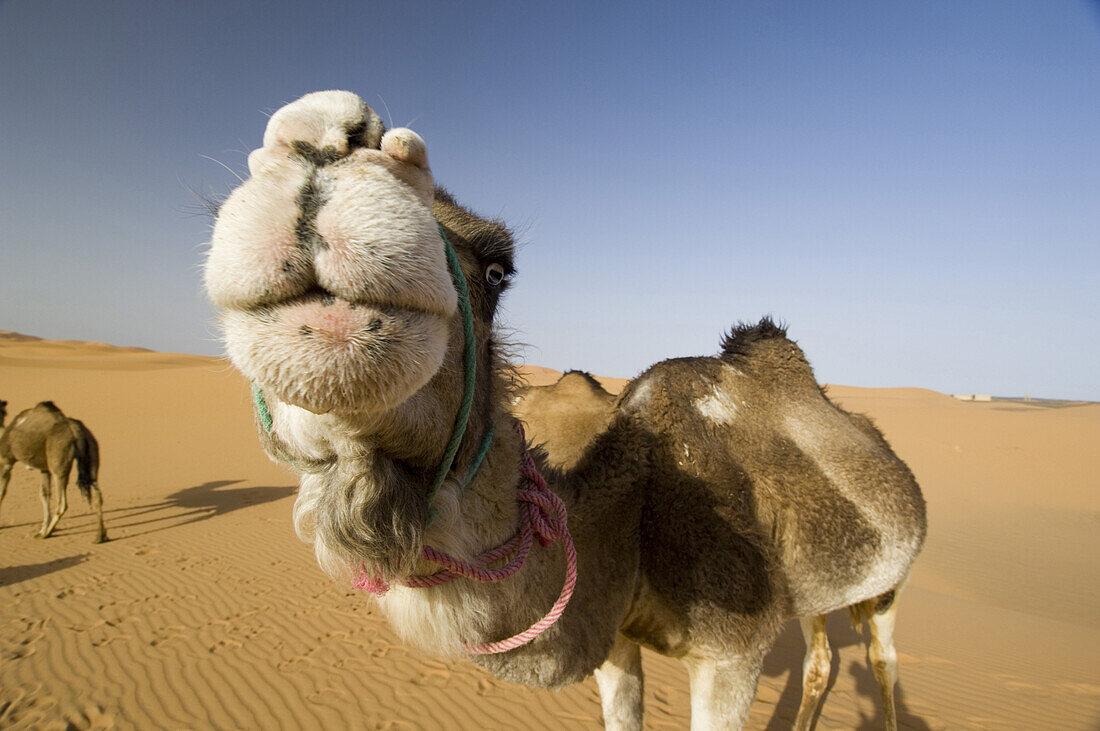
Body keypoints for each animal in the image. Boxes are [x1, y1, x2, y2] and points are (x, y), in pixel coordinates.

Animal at [0, 400, 109, 540]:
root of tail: (76, 431)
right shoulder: (44, 469)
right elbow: (44, 494)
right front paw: (42, 527)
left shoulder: (5, 461)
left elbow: (2, 492)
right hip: (91, 452)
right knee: (97, 494)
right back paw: (99, 536)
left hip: (59, 462)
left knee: (62, 503)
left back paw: (46, 534)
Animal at [202, 92, 924, 729]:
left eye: (499, 271)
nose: (332, 134)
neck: (630, 518)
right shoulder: (614, 638)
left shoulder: (733, 654)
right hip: (816, 588)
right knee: (821, 658)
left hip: (890, 582)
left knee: (882, 660)